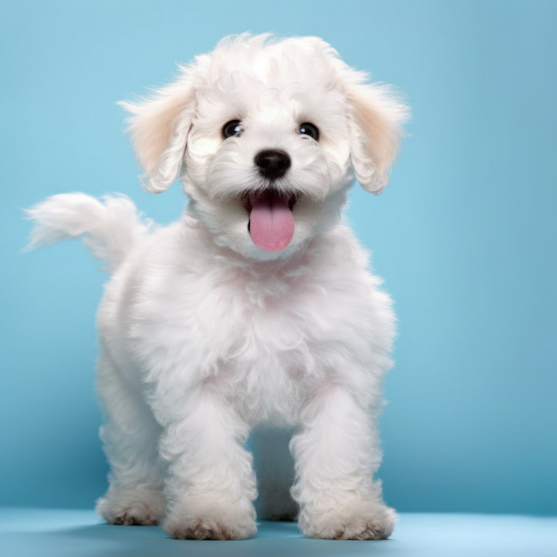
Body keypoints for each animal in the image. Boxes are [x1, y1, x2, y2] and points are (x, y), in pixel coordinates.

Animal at [25, 34, 408, 540]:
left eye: (309, 131)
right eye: (232, 129)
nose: (272, 158)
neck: (265, 273)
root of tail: (131, 255)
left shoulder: (339, 377)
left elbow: (336, 450)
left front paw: (345, 514)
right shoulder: (195, 382)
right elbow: (209, 455)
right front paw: (211, 514)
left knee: (276, 453)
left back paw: (283, 503)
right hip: (124, 391)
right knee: (135, 451)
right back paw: (134, 502)